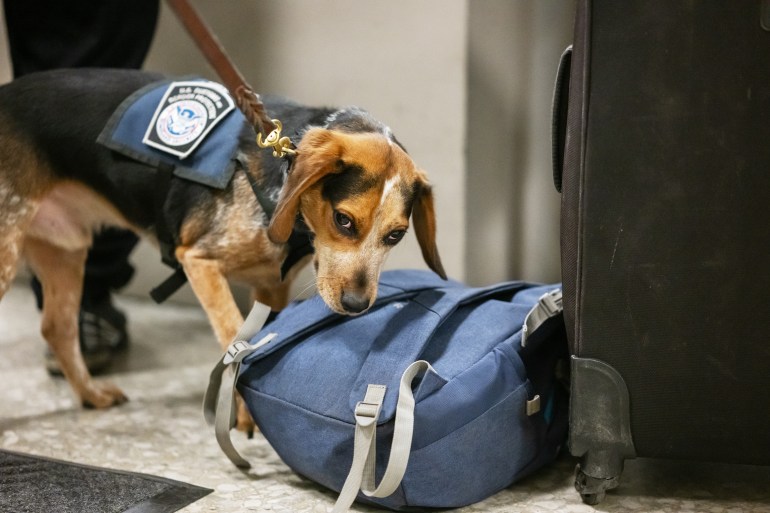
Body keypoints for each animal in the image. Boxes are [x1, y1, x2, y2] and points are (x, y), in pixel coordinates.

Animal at [0, 69, 444, 412]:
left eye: (396, 235)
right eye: (344, 220)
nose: (356, 305)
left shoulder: (272, 286)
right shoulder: (198, 262)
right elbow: (235, 336)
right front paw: (244, 417)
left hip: (65, 252)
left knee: (57, 329)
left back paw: (91, 394)